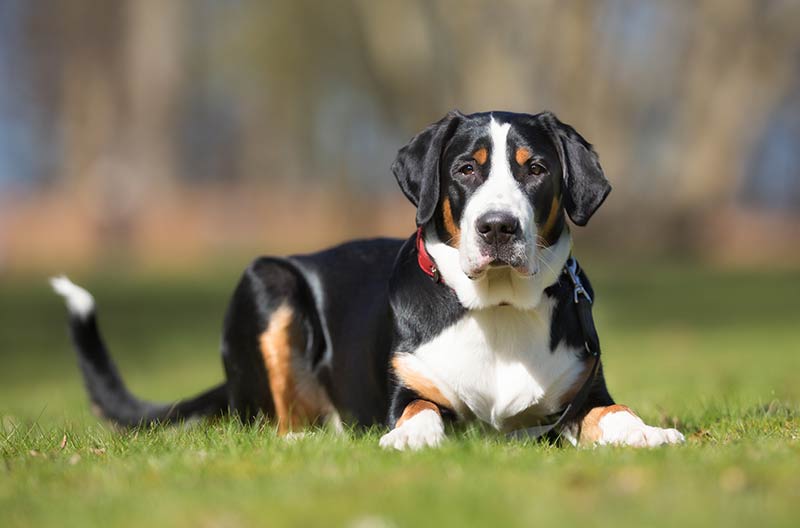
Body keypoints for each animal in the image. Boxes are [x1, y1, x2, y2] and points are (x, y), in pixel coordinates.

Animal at [53, 110, 684, 450]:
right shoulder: (407, 389)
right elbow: (418, 410)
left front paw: (647, 432)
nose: (498, 227)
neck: (497, 310)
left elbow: (612, 413)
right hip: (269, 281)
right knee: (278, 423)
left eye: (537, 169)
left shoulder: (581, 395)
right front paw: (410, 436)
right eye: (466, 169)